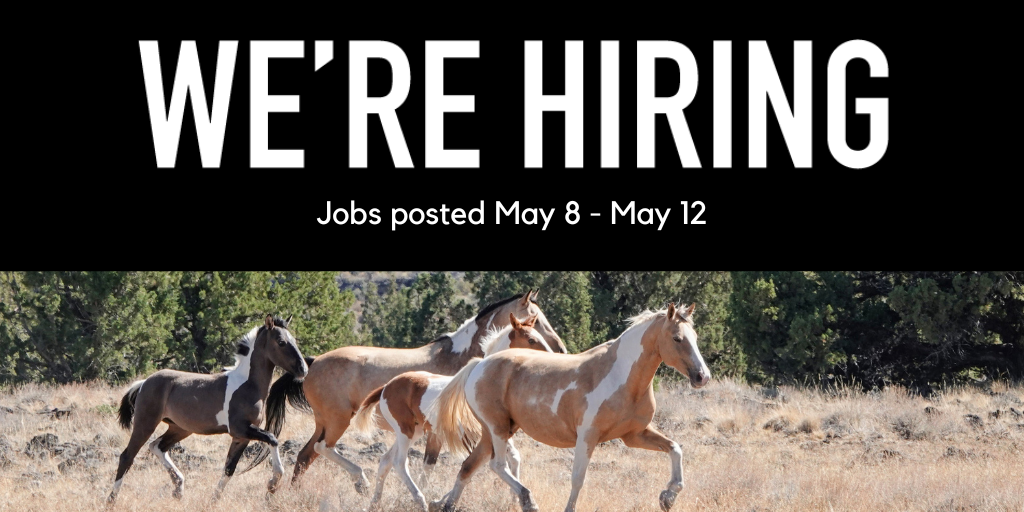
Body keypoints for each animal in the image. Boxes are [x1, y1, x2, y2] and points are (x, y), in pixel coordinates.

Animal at [109, 313, 307, 501]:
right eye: (281, 342)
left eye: (294, 341)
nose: (303, 369)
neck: (248, 385)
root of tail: (144, 383)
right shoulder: (240, 429)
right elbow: (272, 438)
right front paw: (273, 482)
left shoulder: (241, 437)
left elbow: (229, 469)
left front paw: (214, 499)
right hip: (146, 423)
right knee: (127, 456)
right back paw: (112, 499)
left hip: (180, 428)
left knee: (157, 446)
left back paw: (178, 488)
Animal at [262, 288, 569, 491]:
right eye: (535, 319)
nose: (561, 350)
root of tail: (312, 362)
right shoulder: (454, 429)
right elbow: (433, 464)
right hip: (337, 421)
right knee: (321, 450)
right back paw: (360, 481)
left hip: (324, 423)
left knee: (305, 456)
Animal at [352, 311, 561, 512]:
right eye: (531, 340)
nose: (554, 356)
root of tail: (386, 387)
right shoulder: (484, 433)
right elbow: (476, 465)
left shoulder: (495, 432)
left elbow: (510, 458)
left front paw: (513, 500)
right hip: (405, 431)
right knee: (399, 463)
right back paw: (420, 500)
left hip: (414, 431)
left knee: (385, 461)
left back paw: (375, 503)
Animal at [428, 303, 708, 512]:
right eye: (677, 338)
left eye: (695, 337)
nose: (702, 376)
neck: (621, 377)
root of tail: (479, 364)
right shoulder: (587, 437)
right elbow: (578, 479)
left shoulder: (634, 435)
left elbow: (675, 449)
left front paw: (668, 497)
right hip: (497, 429)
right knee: (497, 465)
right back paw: (528, 501)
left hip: (496, 431)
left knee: (468, 467)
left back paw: (447, 505)